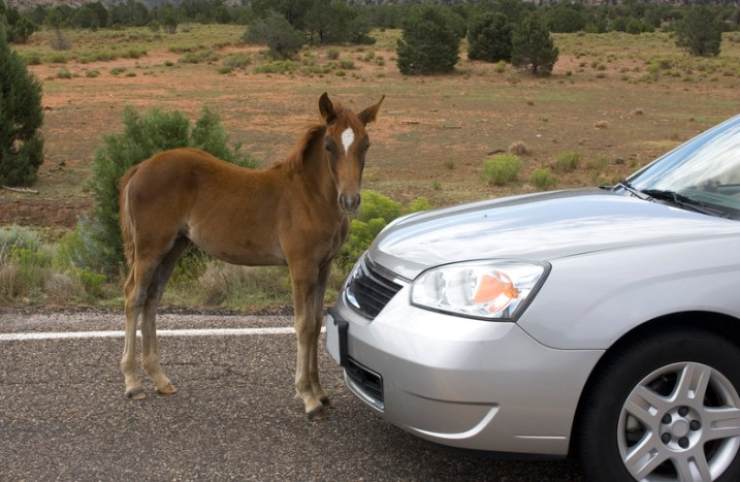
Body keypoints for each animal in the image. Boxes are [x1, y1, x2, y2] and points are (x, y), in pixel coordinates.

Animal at [117, 92, 382, 416]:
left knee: (152, 299)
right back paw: (133, 382)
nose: (350, 200)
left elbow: (316, 323)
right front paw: (307, 396)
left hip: (173, 247)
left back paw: (160, 379)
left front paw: (320, 393)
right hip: (150, 247)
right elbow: (304, 325)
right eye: (330, 145)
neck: (311, 196)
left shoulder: (323, 266)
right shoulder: (301, 266)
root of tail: (140, 167)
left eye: (365, 144)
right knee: (134, 296)